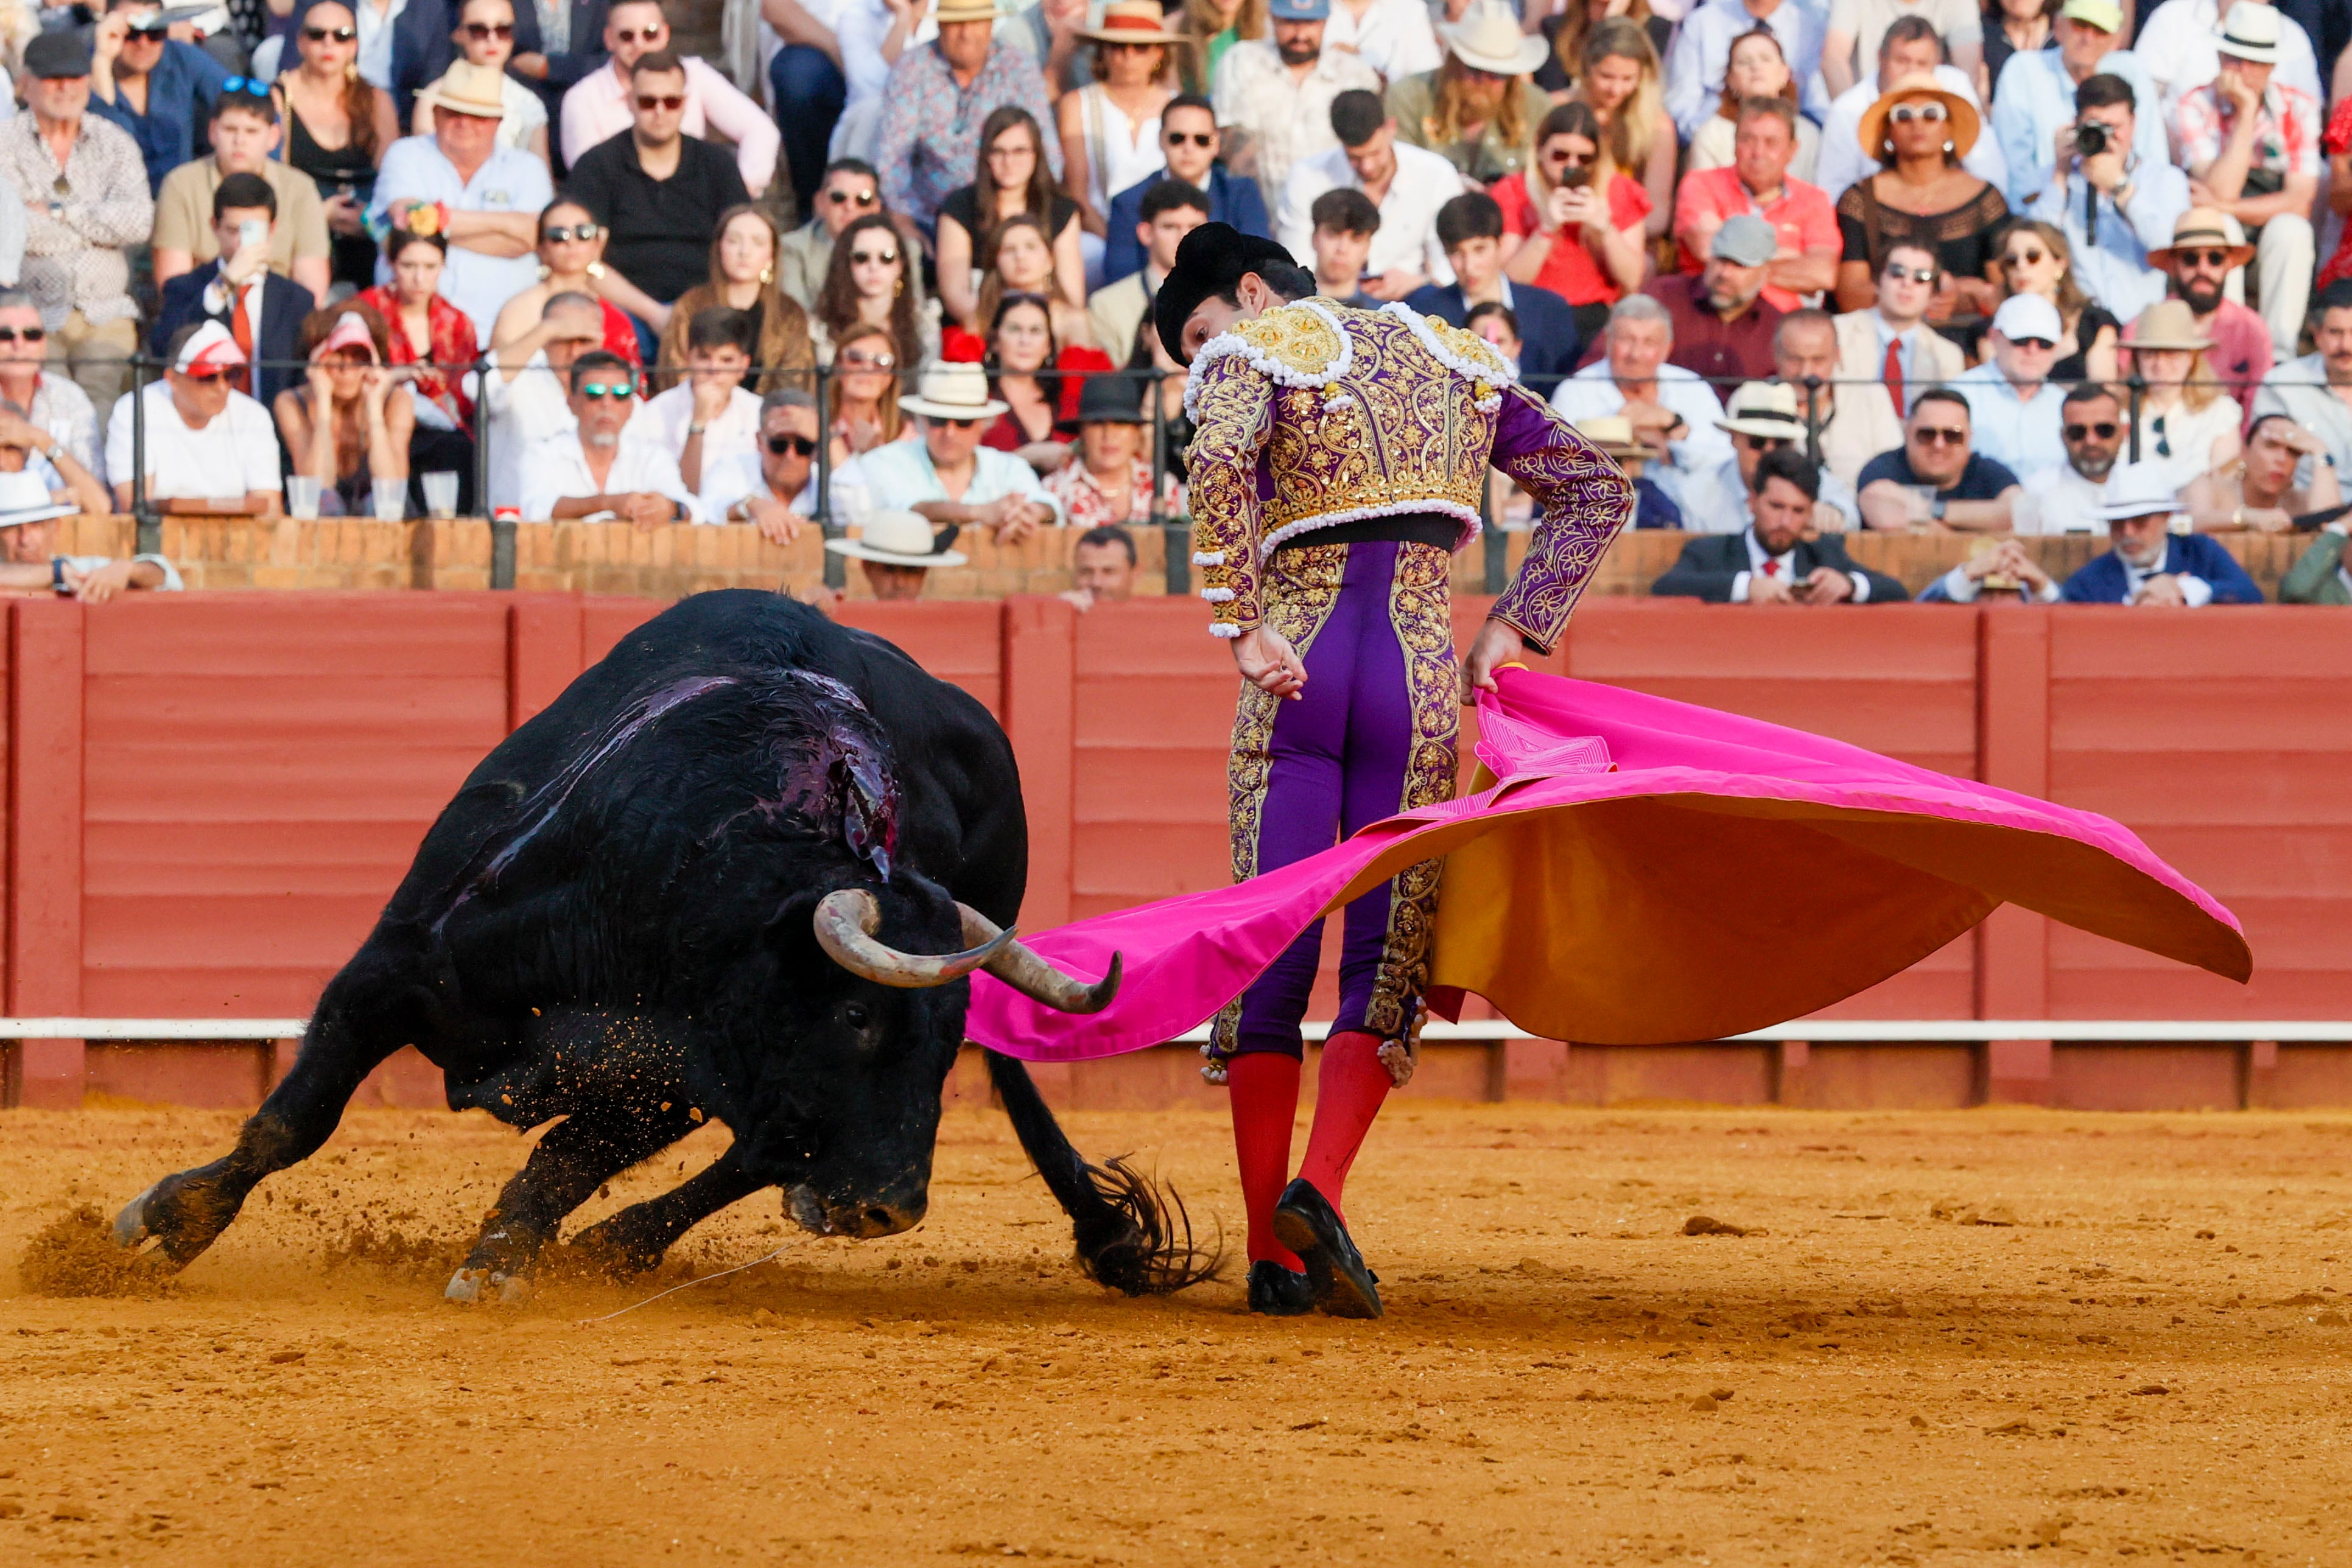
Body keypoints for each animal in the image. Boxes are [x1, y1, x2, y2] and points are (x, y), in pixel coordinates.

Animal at [110, 587, 1213, 1297]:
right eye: (858, 1016)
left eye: (948, 1050)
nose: (891, 1208)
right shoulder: (392, 971)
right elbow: (292, 1121)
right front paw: (163, 1226)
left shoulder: (670, 1077)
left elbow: (566, 1160)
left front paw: (503, 1258)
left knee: (761, 1150)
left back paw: (614, 1248)